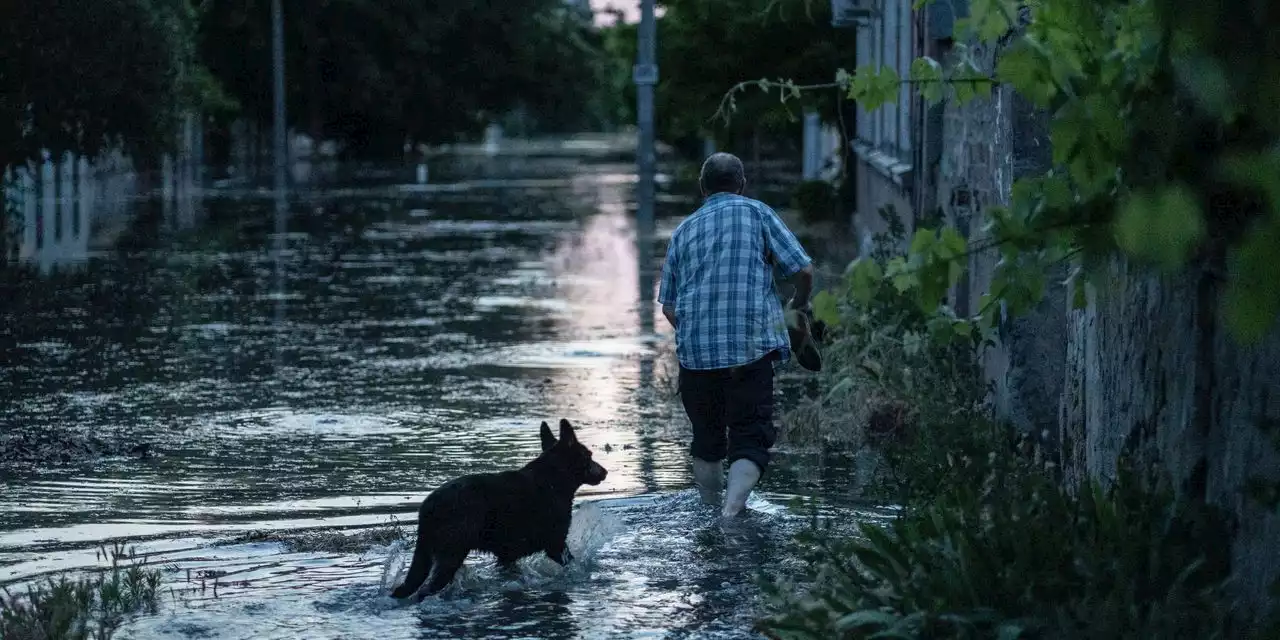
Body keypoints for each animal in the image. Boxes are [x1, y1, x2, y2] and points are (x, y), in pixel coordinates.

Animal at [386, 419, 606, 599]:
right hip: (451, 553)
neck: (554, 481)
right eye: (589, 456)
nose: (604, 471)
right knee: (425, 590)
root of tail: (427, 508)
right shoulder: (556, 544)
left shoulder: (508, 555)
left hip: (427, 555)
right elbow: (575, 565)